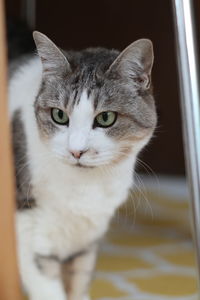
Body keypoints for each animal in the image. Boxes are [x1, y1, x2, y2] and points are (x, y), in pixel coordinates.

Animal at [9, 31, 156, 300]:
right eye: (59, 115)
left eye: (106, 118)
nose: (76, 150)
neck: (86, 187)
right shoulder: (29, 232)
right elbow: (49, 289)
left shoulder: (87, 241)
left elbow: (80, 283)